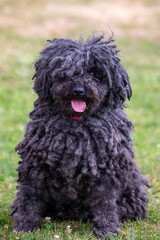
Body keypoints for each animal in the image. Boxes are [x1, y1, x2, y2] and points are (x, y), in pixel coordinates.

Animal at [11, 35, 150, 238]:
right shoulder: (36, 166)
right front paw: (23, 226)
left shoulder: (106, 171)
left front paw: (106, 230)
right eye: (64, 72)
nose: (79, 90)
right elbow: (29, 198)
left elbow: (105, 204)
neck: (77, 125)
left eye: (95, 72)